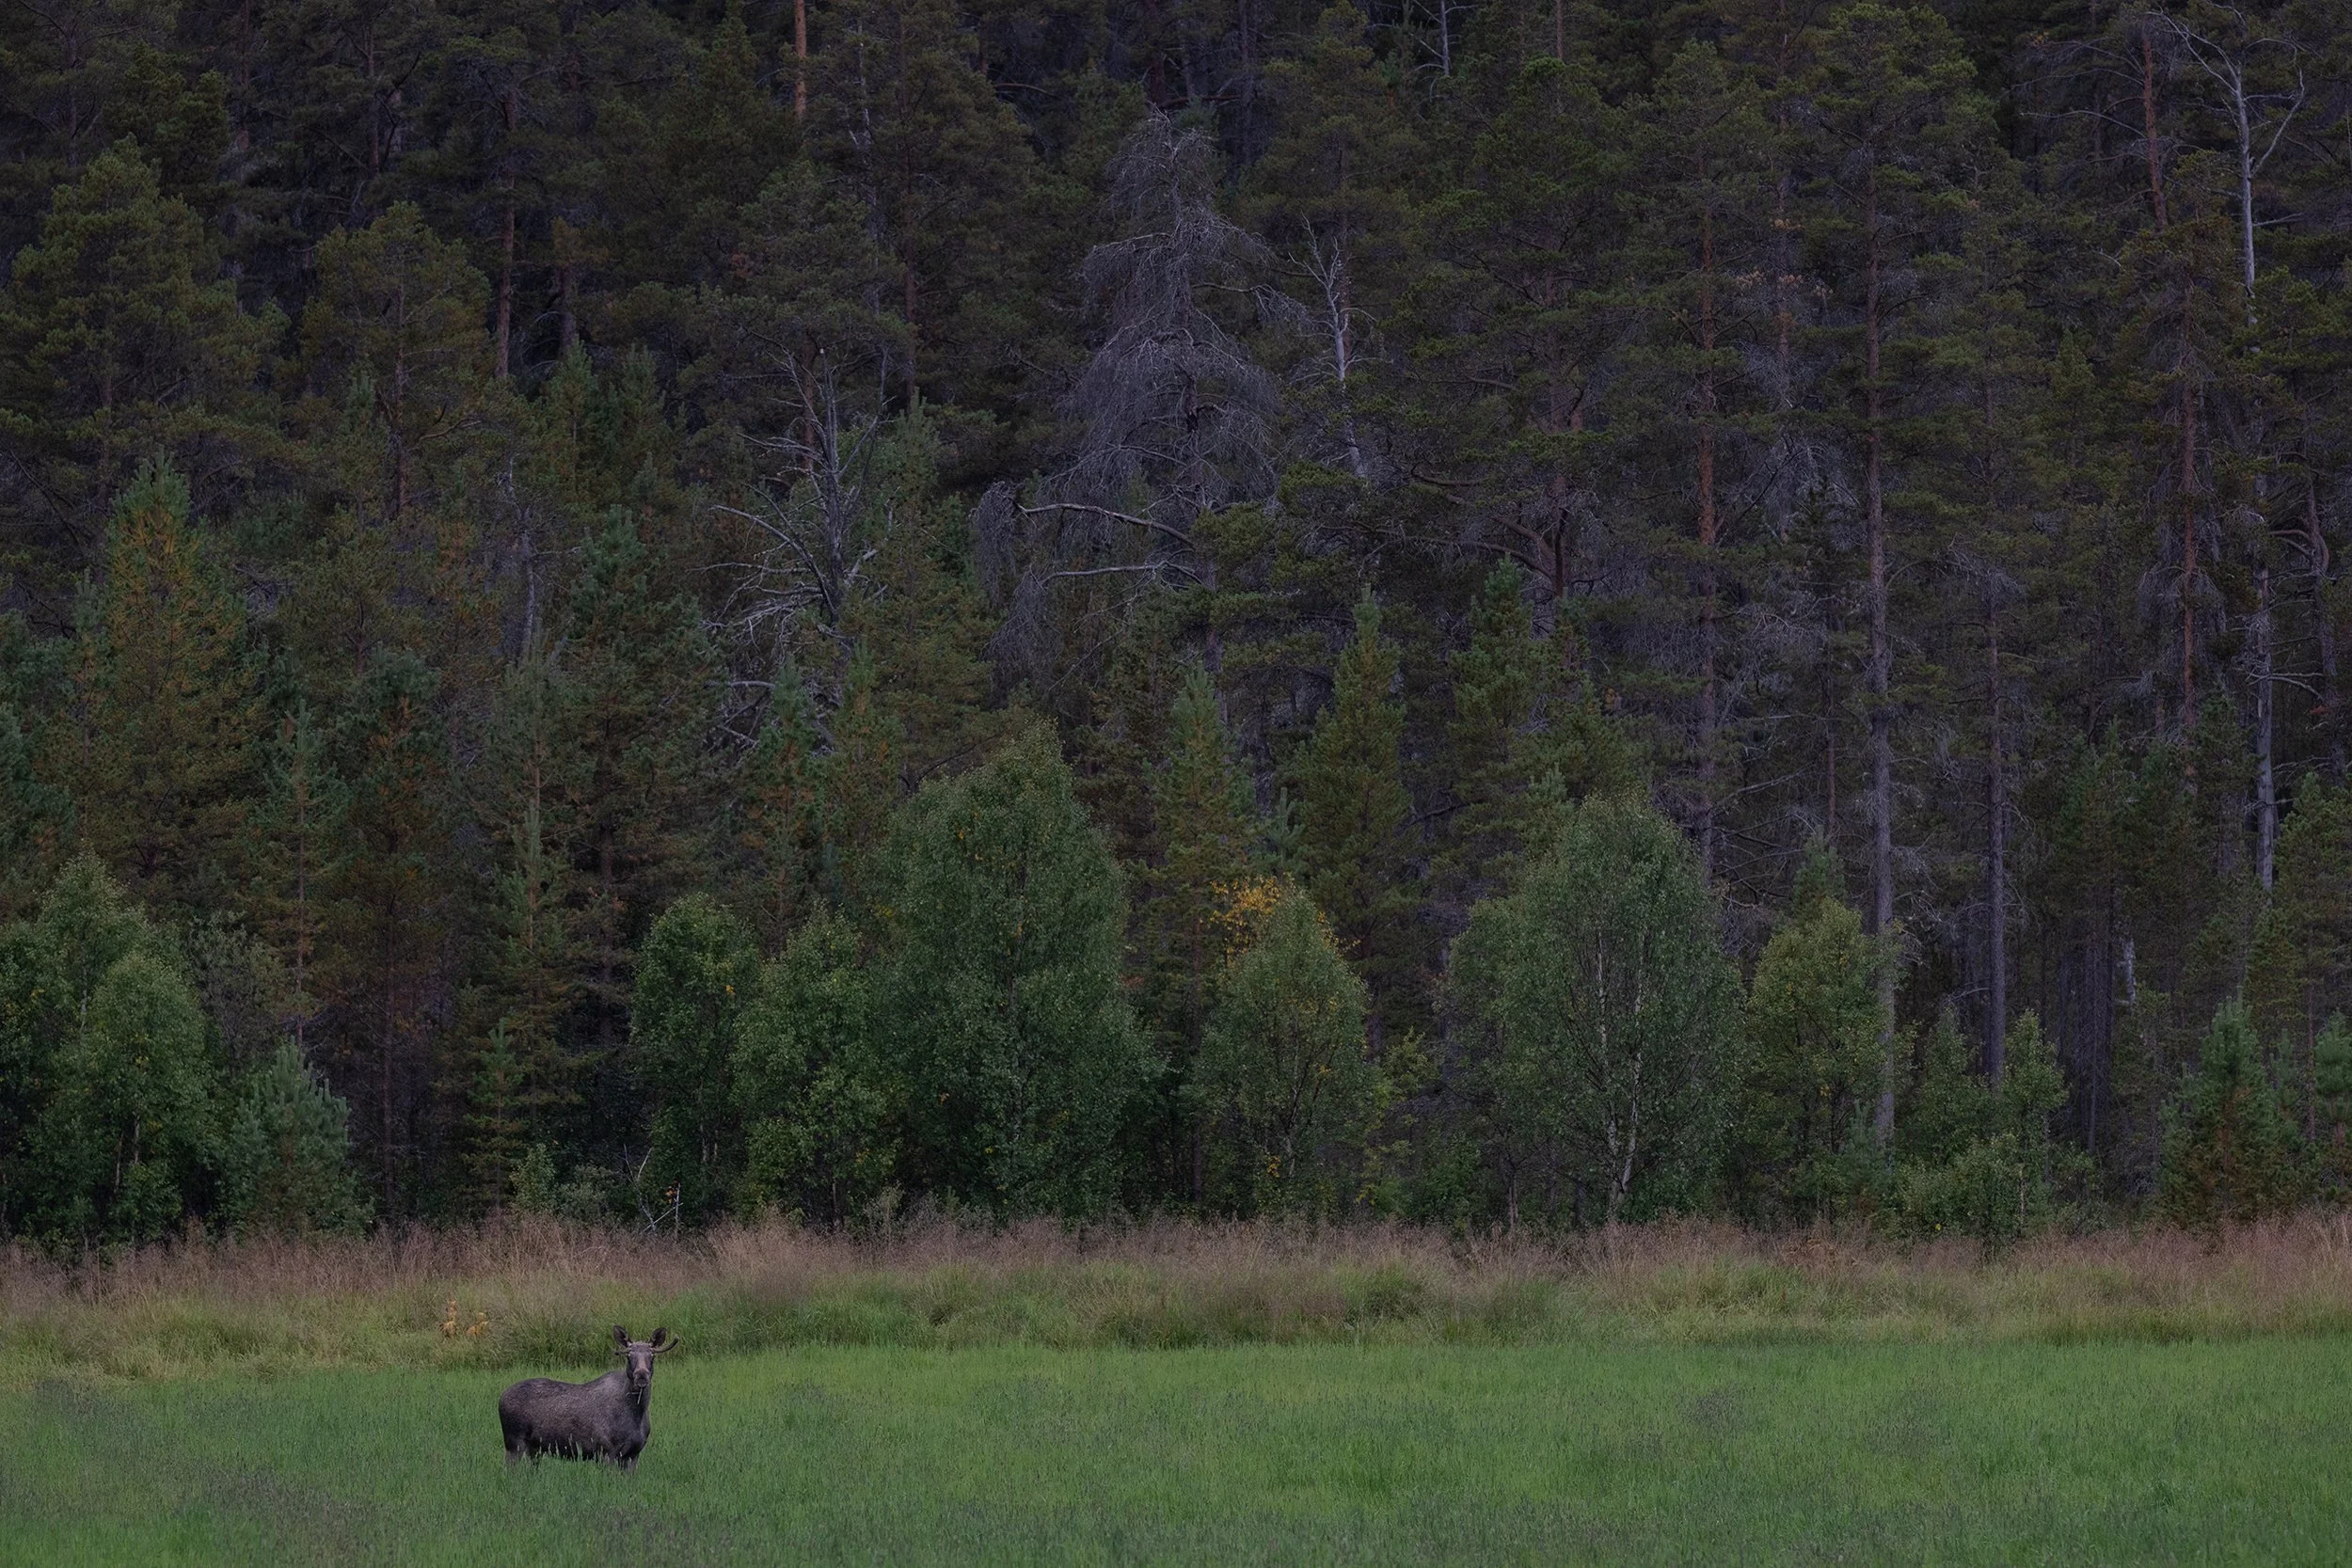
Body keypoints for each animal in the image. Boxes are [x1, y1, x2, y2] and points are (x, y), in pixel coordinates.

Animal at [498, 1325, 679, 1469]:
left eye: (652, 1357)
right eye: (629, 1356)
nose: (641, 1376)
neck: (636, 1413)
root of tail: (500, 1398)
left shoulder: (633, 1453)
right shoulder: (606, 1451)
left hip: (535, 1449)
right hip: (513, 1443)